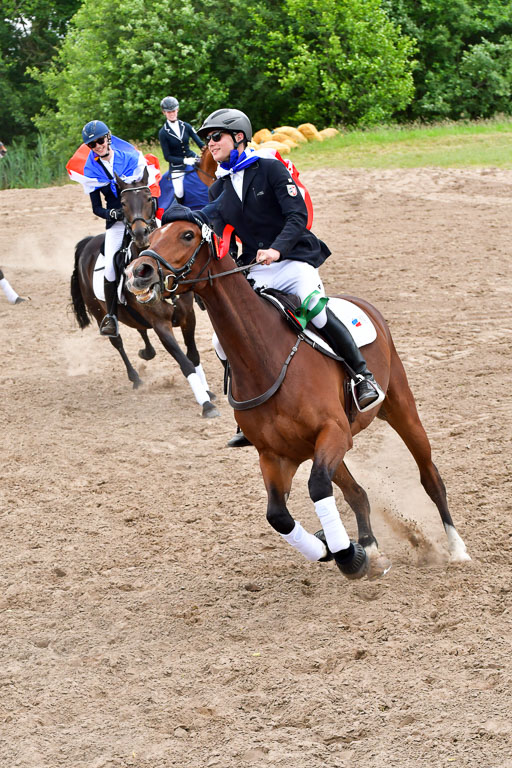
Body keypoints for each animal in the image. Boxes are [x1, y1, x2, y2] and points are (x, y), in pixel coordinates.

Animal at [70, 166, 219, 418]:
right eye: (123, 203)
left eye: (149, 198)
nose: (140, 234)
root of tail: (89, 243)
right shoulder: (161, 325)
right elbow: (185, 362)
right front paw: (206, 404)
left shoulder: (188, 317)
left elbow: (194, 356)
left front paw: (207, 391)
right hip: (100, 313)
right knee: (117, 341)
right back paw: (135, 378)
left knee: (139, 328)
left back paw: (146, 353)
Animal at [124, 217, 471, 580]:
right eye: (152, 236)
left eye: (187, 235)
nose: (138, 271)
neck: (264, 357)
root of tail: (363, 305)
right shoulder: (276, 456)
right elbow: (279, 515)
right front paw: (330, 548)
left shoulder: (334, 432)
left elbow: (317, 488)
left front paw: (347, 555)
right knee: (356, 493)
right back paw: (371, 550)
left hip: (400, 409)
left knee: (430, 478)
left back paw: (456, 549)